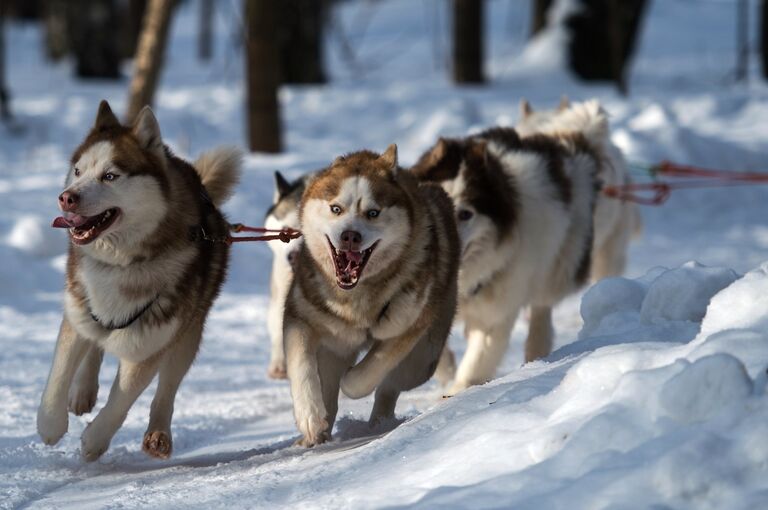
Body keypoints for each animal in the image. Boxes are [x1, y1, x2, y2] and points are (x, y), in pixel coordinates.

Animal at [35, 100, 240, 462]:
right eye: (78, 171)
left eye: (110, 176)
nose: (66, 197)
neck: (122, 264)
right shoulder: (76, 312)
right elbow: (59, 372)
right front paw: (50, 425)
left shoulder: (148, 342)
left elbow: (123, 398)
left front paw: (94, 441)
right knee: (94, 342)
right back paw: (83, 391)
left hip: (186, 334)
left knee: (167, 387)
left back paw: (158, 434)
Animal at [284, 144, 460, 446]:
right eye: (336, 209)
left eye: (373, 213)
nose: (350, 236)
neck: (355, 298)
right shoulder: (301, 318)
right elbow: (302, 366)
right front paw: (310, 417)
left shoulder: (406, 328)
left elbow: (366, 375)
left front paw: (351, 380)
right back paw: (318, 433)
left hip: (421, 359)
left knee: (390, 385)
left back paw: (380, 421)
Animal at [412, 125, 604, 392]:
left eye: (465, 214)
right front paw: (445, 367)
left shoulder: (498, 311)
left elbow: (476, 362)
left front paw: (459, 392)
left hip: (560, 264)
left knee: (542, 305)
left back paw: (536, 349)